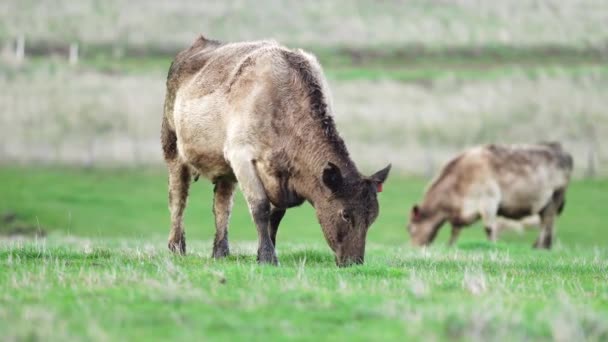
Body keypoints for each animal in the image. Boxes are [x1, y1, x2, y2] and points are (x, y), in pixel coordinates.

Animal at [160, 36, 390, 268]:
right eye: (345, 214)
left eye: (373, 217)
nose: (355, 262)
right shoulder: (242, 158)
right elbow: (260, 208)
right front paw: (268, 257)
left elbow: (275, 216)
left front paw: (262, 253)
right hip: (172, 147)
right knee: (178, 198)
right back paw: (176, 248)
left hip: (224, 169)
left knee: (222, 205)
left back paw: (220, 252)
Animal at [406, 142, 572, 248]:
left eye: (409, 228)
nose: (414, 247)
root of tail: (562, 152)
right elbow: (455, 231)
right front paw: (450, 246)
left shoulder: (489, 202)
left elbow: (489, 229)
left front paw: (493, 245)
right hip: (545, 204)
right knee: (546, 223)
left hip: (554, 197)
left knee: (548, 222)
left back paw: (542, 246)